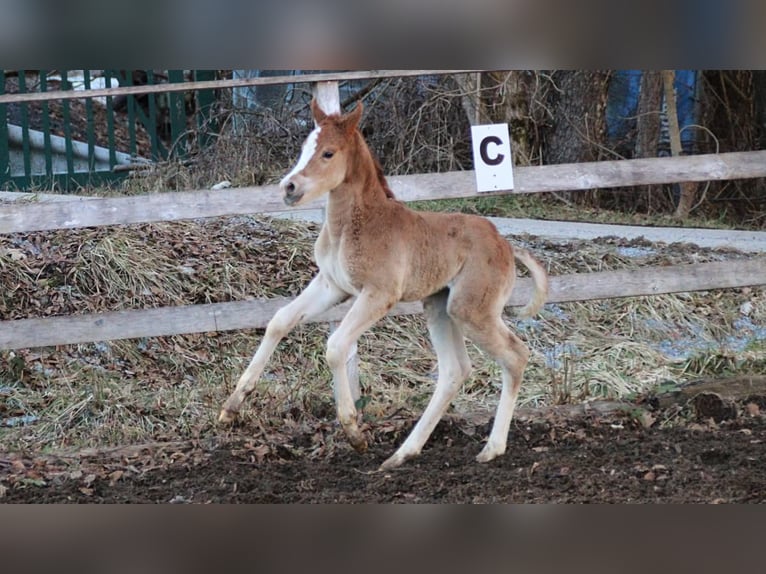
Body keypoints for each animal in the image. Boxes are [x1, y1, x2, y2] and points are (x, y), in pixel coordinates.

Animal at [219, 98, 549, 470]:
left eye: (328, 153)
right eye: (304, 148)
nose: (288, 187)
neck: (352, 227)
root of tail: (506, 244)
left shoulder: (379, 294)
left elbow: (336, 346)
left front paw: (354, 433)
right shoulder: (332, 285)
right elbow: (279, 321)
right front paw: (231, 407)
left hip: (471, 310)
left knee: (516, 355)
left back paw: (492, 448)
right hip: (439, 307)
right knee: (455, 370)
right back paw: (402, 453)